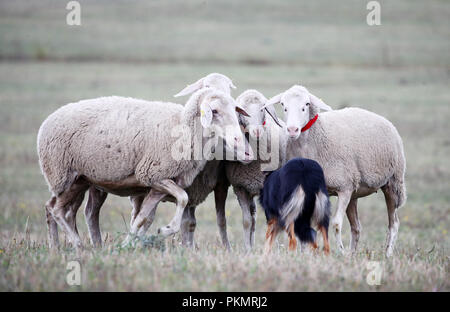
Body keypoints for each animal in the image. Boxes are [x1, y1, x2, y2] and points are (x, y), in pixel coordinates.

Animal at [36, 87, 251, 249]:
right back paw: (78, 244)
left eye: (235, 110)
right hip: (63, 175)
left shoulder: (158, 185)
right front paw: (165, 230)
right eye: (214, 111)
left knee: (58, 209)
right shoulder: (153, 174)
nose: (239, 141)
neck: (184, 128)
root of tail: (47, 121)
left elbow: (142, 218)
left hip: (80, 180)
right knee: (55, 209)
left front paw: (127, 245)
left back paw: (56, 248)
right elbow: (183, 198)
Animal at [264, 85, 408, 256]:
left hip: (392, 182)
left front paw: (339, 252)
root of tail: (385, 120)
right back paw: (352, 255)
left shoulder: (344, 188)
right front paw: (304, 253)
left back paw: (387, 254)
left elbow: (336, 224)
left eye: (306, 104)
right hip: (355, 191)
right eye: (283, 105)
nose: (292, 130)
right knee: (356, 227)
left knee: (394, 223)